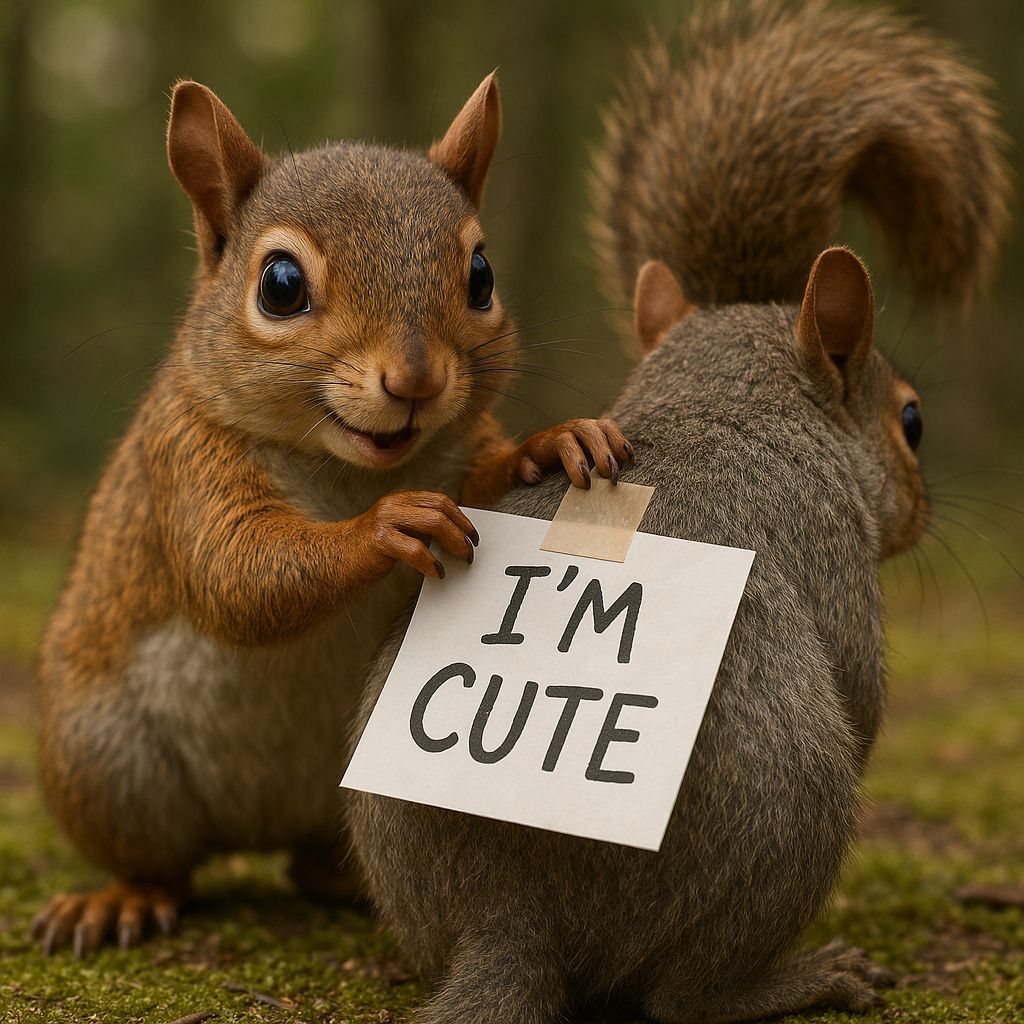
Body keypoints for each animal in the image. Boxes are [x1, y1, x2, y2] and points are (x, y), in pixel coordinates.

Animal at [31, 73, 633, 957]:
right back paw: (121, 900)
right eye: (281, 285)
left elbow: (488, 471)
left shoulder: (457, 451)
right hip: (104, 761)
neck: (351, 469)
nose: (415, 380)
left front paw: (553, 442)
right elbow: (238, 574)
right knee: (161, 863)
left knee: (310, 861)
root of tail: (258, 827)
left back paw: (348, 883)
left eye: (482, 274)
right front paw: (389, 526)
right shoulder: (187, 461)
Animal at [346, 3, 1010, 1022]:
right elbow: (860, 680)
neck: (716, 402)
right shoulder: (829, 544)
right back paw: (800, 976)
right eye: (912, 422)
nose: (921, 512)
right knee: (683, 998)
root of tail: (517, 915)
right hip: (793, 806)